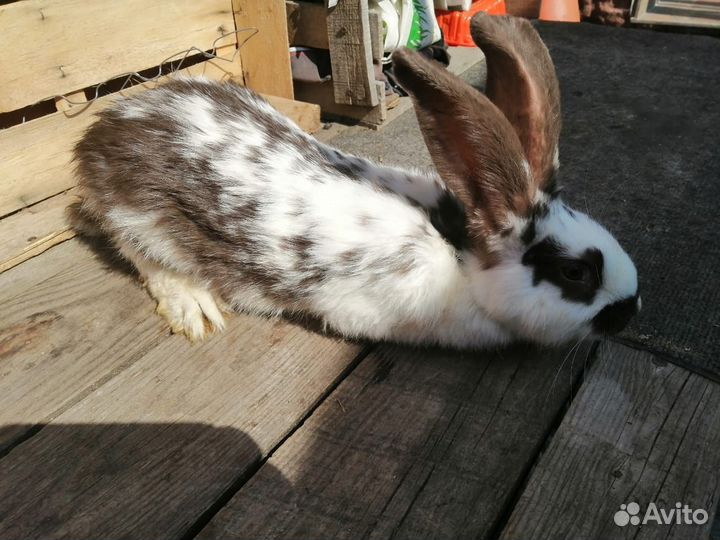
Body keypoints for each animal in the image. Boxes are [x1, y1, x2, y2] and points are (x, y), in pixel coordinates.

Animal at [74, 13, 639, 346]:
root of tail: (103, 132)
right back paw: (196, 310)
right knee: (149, 262)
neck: (461, 257)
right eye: (575, 273)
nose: (631, 308)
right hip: (143, 222)